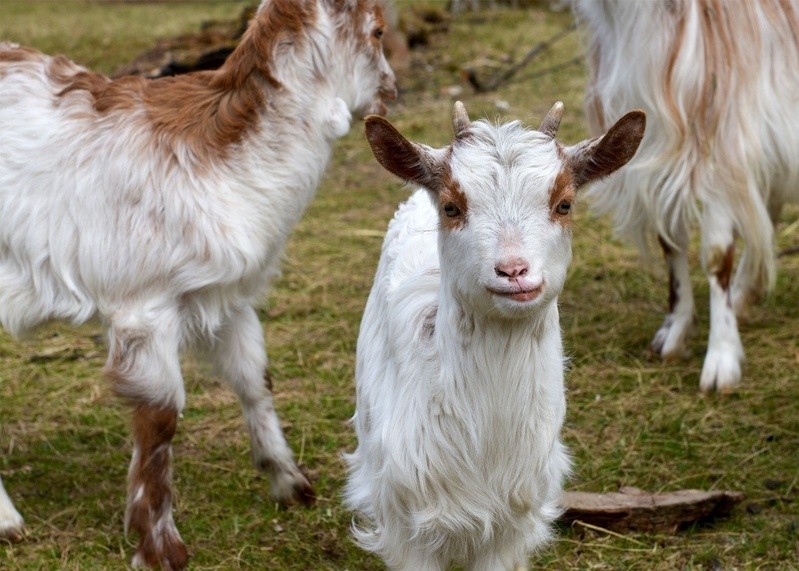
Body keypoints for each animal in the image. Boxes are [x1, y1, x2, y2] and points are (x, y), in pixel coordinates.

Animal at [0, 0, 396, 567]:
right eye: (379, 30)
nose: (391, 88)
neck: (220, 161)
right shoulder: (143, 305)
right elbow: (161, 418)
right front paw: (160, 546)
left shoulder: (226, 296)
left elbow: (255, 379)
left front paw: (290, 484)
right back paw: (8, 522)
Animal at [572, 0, 799, 391]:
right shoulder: (659, 149)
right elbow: (670, 244)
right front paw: (675, 331)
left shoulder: (721, 150)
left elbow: (716, 255)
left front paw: (721, 359)